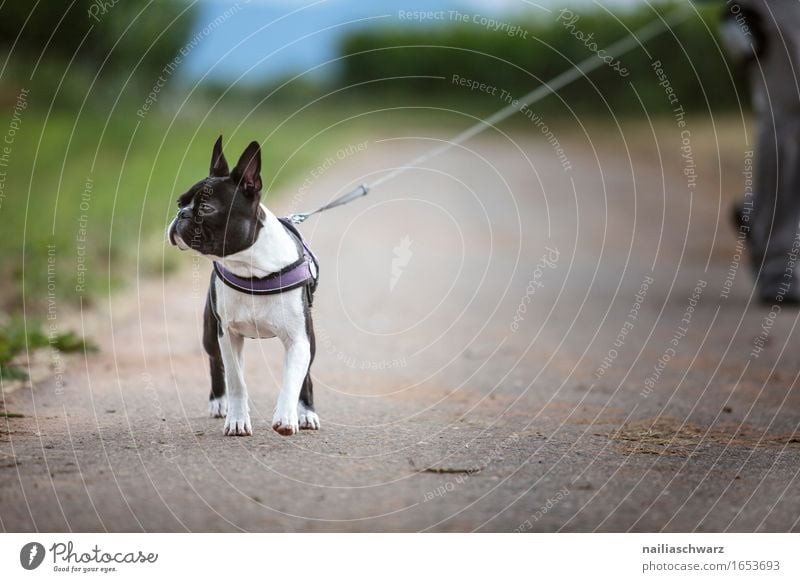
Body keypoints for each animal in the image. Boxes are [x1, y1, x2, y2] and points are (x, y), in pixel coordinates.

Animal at [166, 138, 318, 438]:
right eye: (180, 202)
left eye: (206, 208)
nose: (181, 214)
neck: (252, 269)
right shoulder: (228, 333)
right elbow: (236, 379)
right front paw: (237, 419)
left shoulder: (300, 338)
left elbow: (293, 378)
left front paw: (287, 417)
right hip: (211, 331)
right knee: (216, 363)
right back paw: (219, 402)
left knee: (305, 374)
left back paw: (306, 412)